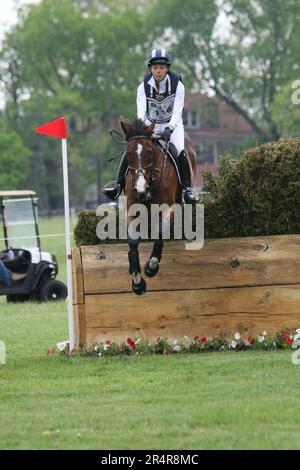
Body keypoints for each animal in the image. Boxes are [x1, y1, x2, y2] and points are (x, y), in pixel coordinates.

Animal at [119, 117, 197, 294]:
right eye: (128, 153)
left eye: (149, 152)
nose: (141, 190)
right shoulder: (132, 209)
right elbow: (133, 241)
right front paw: (137, 281)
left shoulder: (169, 208)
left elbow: (160, 233)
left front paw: (151, 267)